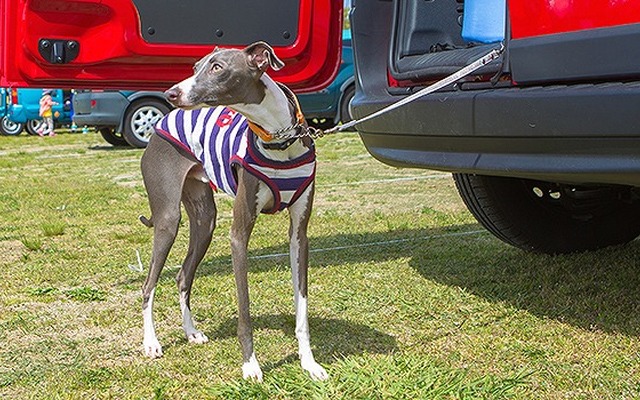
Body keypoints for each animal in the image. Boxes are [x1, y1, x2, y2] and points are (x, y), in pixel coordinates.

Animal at [141, 40, 330, 382]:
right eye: (195, 67)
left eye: (217, 67)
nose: (171, 94)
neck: (279, 140)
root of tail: (161, 124)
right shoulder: (239, 235)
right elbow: (245, 310)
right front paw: (250, 365)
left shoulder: (300, 235)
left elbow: (302, 307)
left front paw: (309, 363)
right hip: (168, 220)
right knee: (148, 284)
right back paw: (151, 342)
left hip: (205, 221)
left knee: (182, 275)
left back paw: (191, 332)